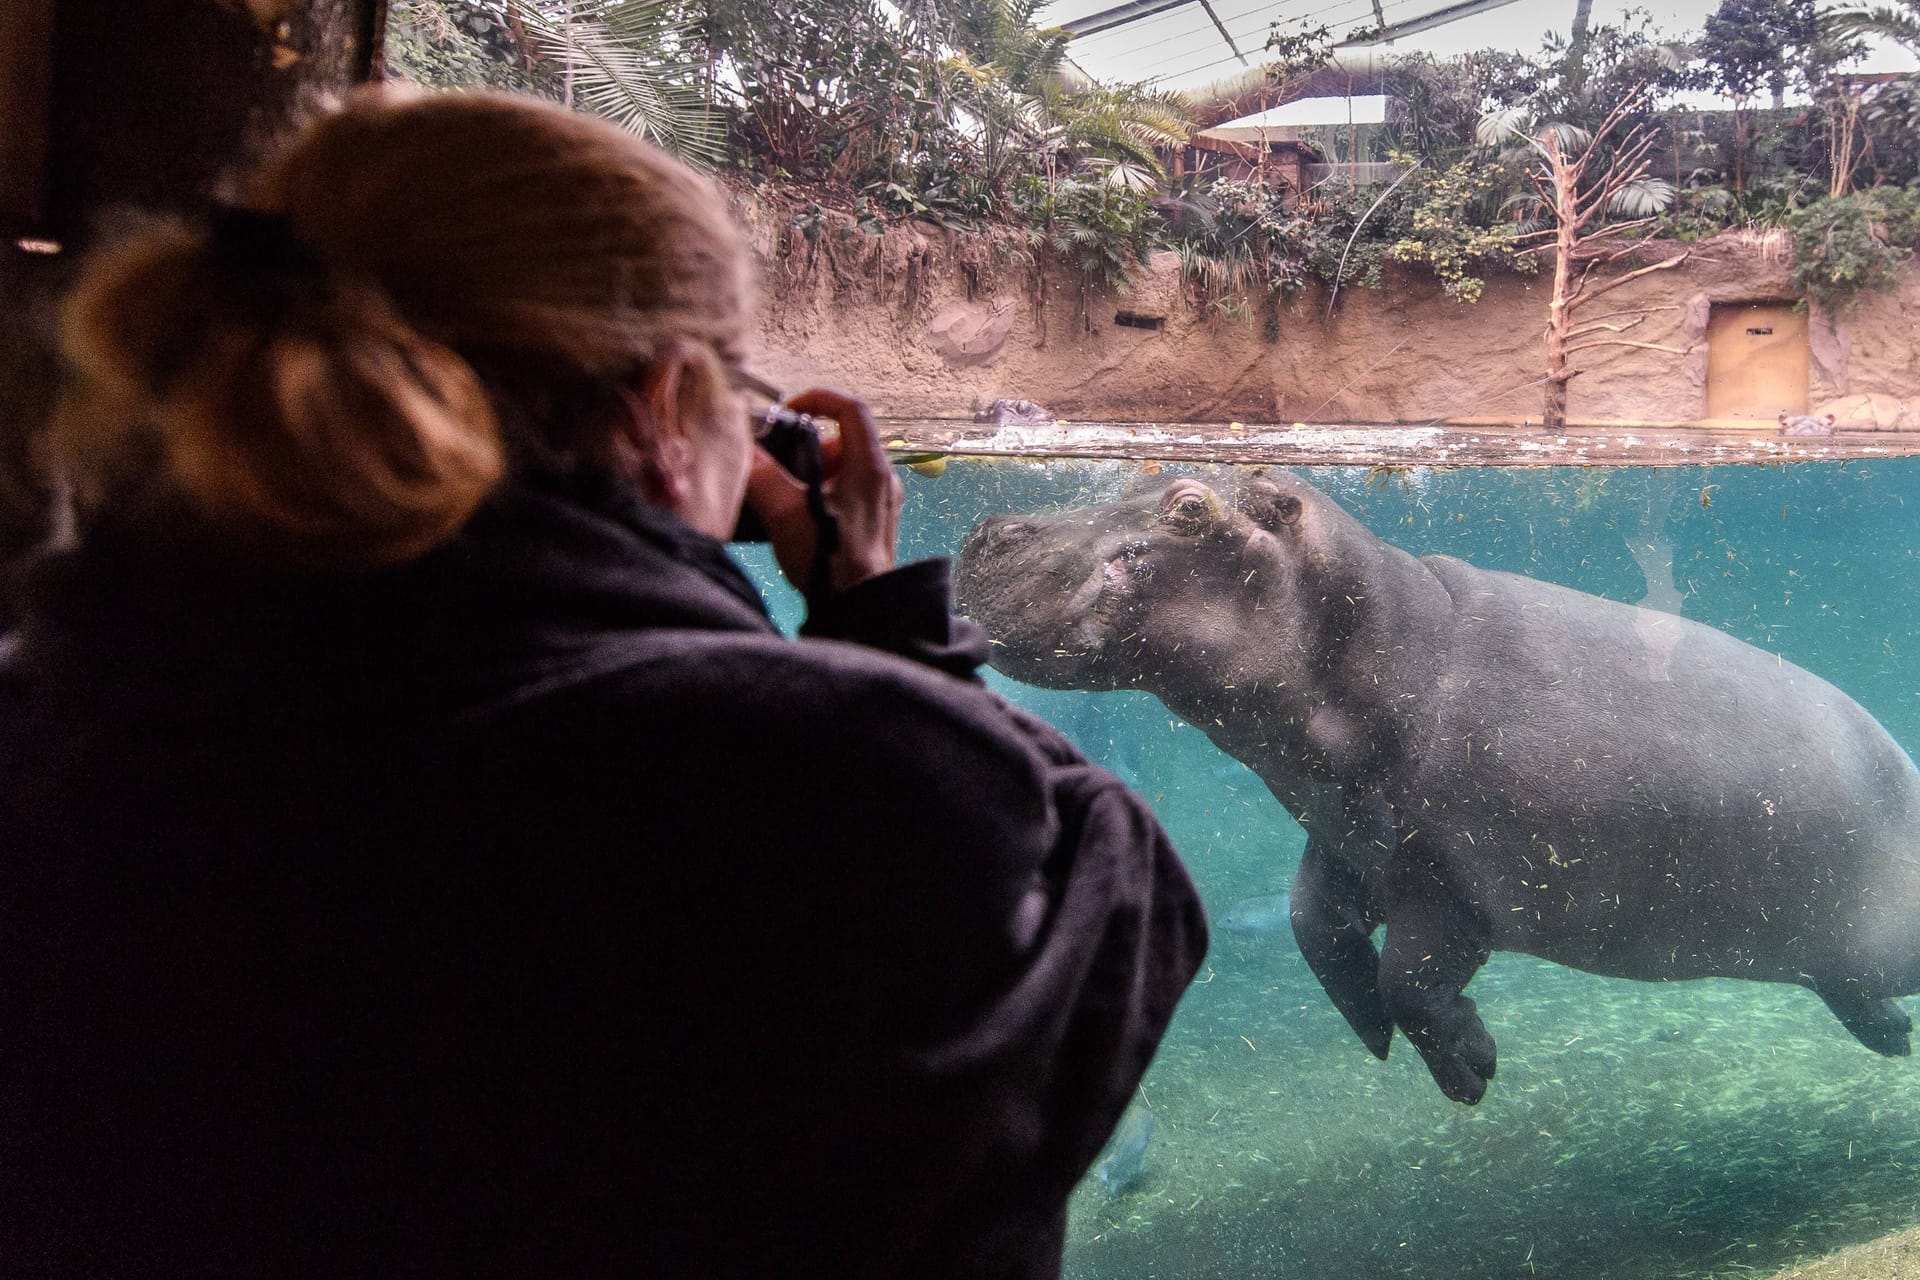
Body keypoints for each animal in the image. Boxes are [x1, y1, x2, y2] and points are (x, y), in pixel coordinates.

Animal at [960, 470, 1920, 1105]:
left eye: (1190, 508)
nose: (990, 530)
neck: (1389, 635)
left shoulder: (1450, 882)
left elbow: (1409, 980)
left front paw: (1471, 1069)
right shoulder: (1345, 841)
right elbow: (1316, 930)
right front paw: (1374, 1038)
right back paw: (1891, 1036)